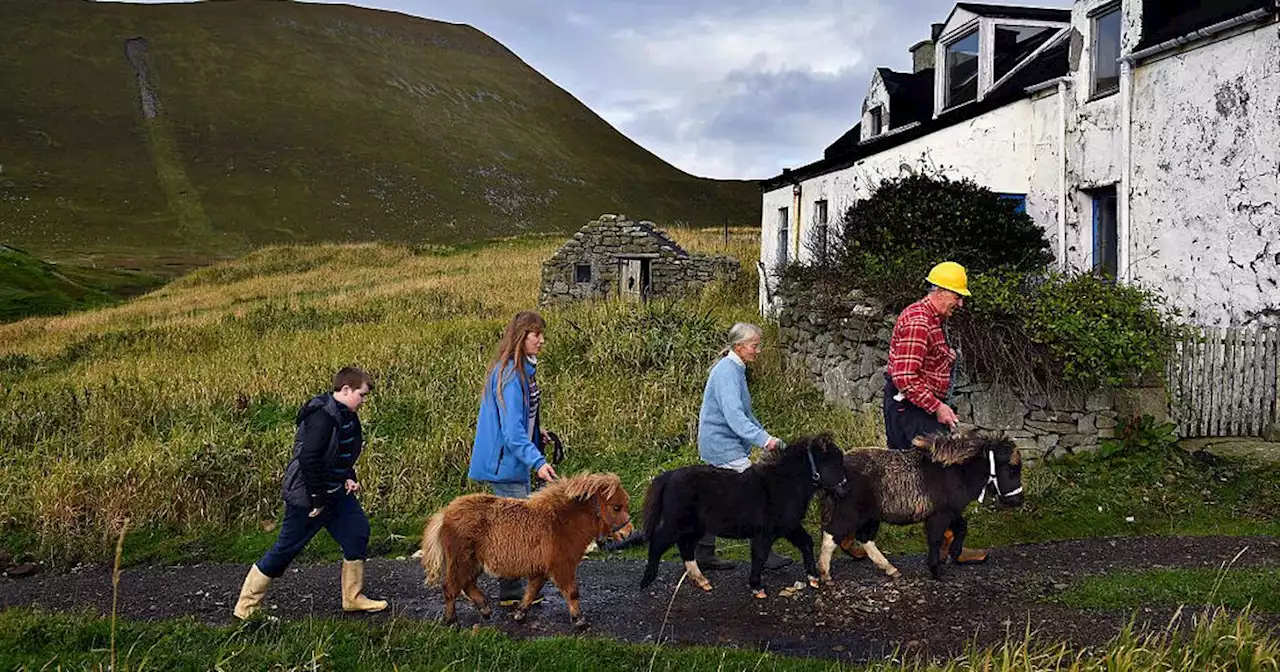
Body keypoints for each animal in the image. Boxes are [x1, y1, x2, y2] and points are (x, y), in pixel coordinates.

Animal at [422, 468, 632, 627]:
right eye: (616, 507)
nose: (628, 532)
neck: (561, 522)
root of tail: (445, 514)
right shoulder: (562, 566)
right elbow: (572, 592)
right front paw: (579, 619)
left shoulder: (542, 570)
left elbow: (531, 592)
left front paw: (520, 613)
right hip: (461, 560)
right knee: (451, 587)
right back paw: (450, 619)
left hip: (473, 563)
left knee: (467, 585)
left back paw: (485, 609)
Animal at [640, 435, 849, 596]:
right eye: (832, 462)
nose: (845, 489)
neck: (785, 484)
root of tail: (669, 476)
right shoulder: (766, 532)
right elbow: (760, 555)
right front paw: (757, 587)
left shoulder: (789, 526)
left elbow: (805, 543)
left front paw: (813, 578)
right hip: (677, 523)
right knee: (658, 543)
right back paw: (646, 581)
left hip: (694, 527)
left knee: (685, 547)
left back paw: (702, 580)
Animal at [819, 432, 1018, 578]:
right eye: (1011, 469)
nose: (1018, 500)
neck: (958, 473)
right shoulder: (940, 515)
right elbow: (936, 538)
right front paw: (937, 569)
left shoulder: (950, 512)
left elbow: (961, 528)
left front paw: (952, 554)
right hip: (848, 512)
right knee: (832, 535)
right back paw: (823, 574)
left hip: (869, 516)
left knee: (863, 538)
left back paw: (890, 568)